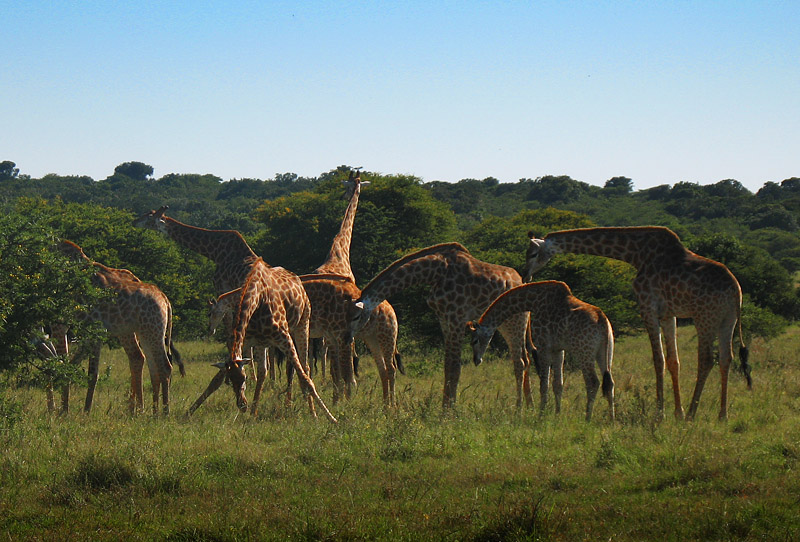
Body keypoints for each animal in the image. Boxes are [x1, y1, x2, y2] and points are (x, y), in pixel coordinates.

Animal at [56, 240, 183, 415]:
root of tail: (165, 300)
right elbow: (70, 366)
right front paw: (65, 410)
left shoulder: (94, 331)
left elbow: (91, 373)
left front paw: (85, 411)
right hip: (146, 333)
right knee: (153, 368)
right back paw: (152, 412)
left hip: (153, 332)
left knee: (164, 366)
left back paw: (163, 413)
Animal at [212, 257, 336, 423]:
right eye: (230, 380)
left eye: (244, 378)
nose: (242, 405)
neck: (257, 300)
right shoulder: (256, 341)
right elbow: (260, 374)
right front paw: (253, 414)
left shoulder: (283, 337)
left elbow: (305, 378)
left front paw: (328, 417)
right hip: (280, 338)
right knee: (287, 369)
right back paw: (288, 405)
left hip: (302, 325)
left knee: (305, 368)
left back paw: (311, 410)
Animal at [350, 243, 533, 408]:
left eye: (356, 316)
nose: (348, 337)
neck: (435, 272)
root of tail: (522, 282)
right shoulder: (445, 320)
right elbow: (447, 367)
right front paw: (445, 407)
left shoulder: (457, 318)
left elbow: (455, 367)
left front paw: (449, 411)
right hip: (505, 324)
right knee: (525, 359)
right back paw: (530, 406)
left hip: (515, 321)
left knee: (519, 362)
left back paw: (519, 409)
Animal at [468, 281, 615, 421]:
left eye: (474, 340)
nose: (476, 360)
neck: (534, 302)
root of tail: (602, 320)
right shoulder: (558, 350)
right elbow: (558, 384)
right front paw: (557, 415)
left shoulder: (543, 347)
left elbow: (544, 385)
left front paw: (540, 416)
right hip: (605, 353)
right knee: (610, 382)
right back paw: (611, 419)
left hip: (584, 353)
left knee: (593, 382)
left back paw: (587, 418)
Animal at [524, 226, 752, 421]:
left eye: (533, 254)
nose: (526, 276)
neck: (636, 254)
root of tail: (735, 291)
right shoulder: (668, 314)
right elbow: (673, 361)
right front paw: (677, 412)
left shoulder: (647, 306)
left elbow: (658, 359)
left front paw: (661, 414)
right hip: (727, 320)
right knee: (726, 358)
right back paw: (722, 415)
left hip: (704, 317)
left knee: (706, 359)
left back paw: (692, 414)